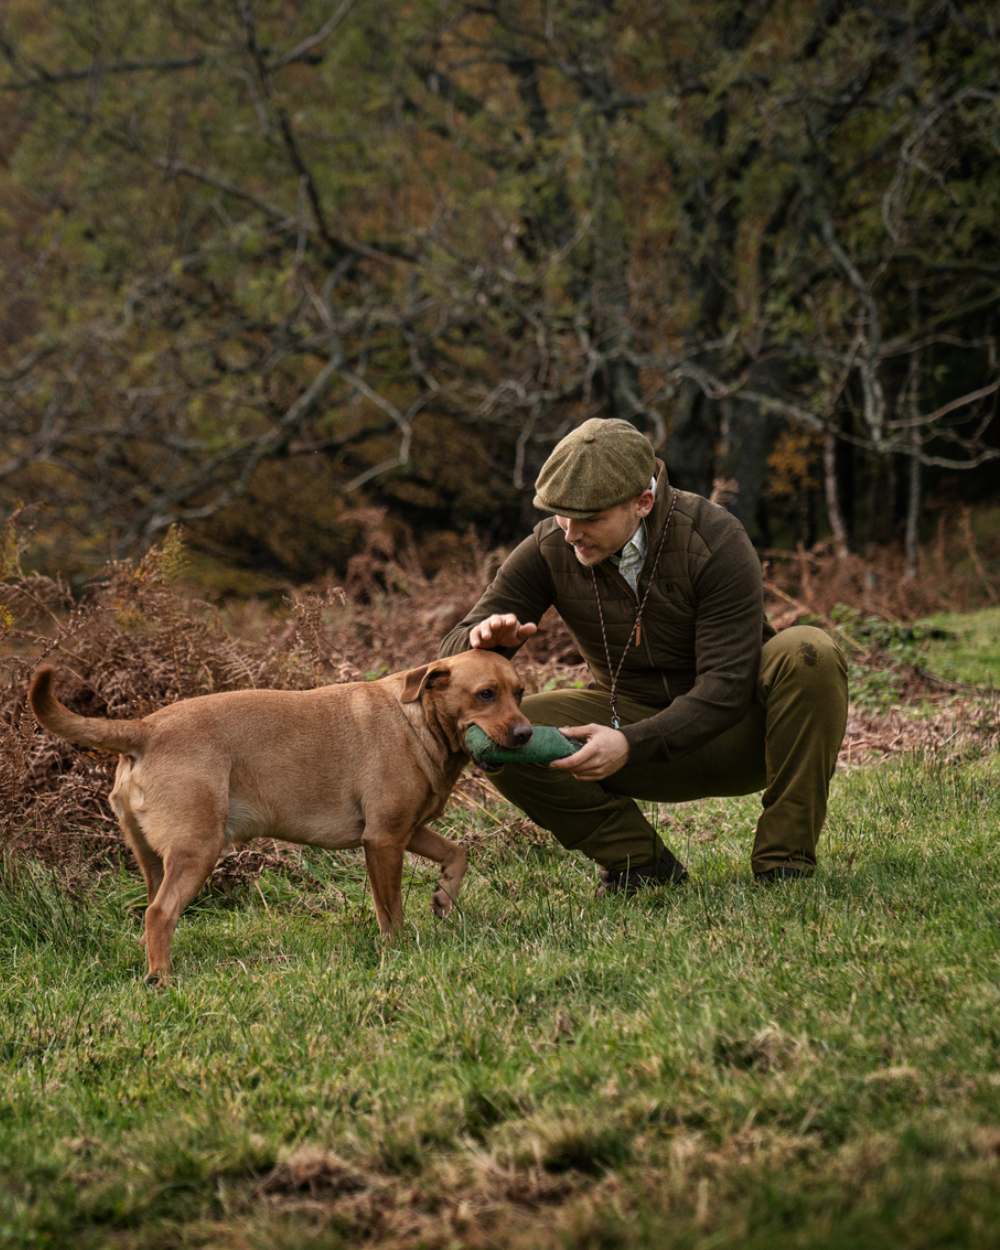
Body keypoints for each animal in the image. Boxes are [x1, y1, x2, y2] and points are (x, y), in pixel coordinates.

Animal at [29, 650, 530, 980]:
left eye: (520, 692)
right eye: (485, 694)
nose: (527, 734)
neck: (420, 720)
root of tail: (145, 729)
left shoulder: (409, 830)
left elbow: (457, 854)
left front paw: (444, 897)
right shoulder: (384, 839)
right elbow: (391, 911)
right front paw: (399, 949)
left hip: (154, 858)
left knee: (152, 914)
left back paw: (155, 967)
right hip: (197, 851)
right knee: (160, 913)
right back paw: (163, 980)